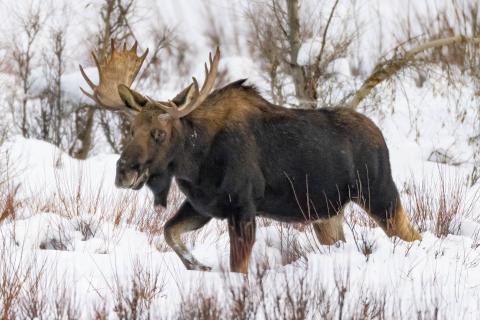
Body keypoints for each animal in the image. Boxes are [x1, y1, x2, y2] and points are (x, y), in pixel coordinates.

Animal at [80, 41, 422, 274]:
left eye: (159, 133)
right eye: (131, 128)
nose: (124, 171)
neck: (194, 163)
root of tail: (381, 136)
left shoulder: (242, 206)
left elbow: (238, 266)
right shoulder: (202, 206)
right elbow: (169, 233)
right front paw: (199, 266)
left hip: (379, 193)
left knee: (413, 235)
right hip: (326, 215)